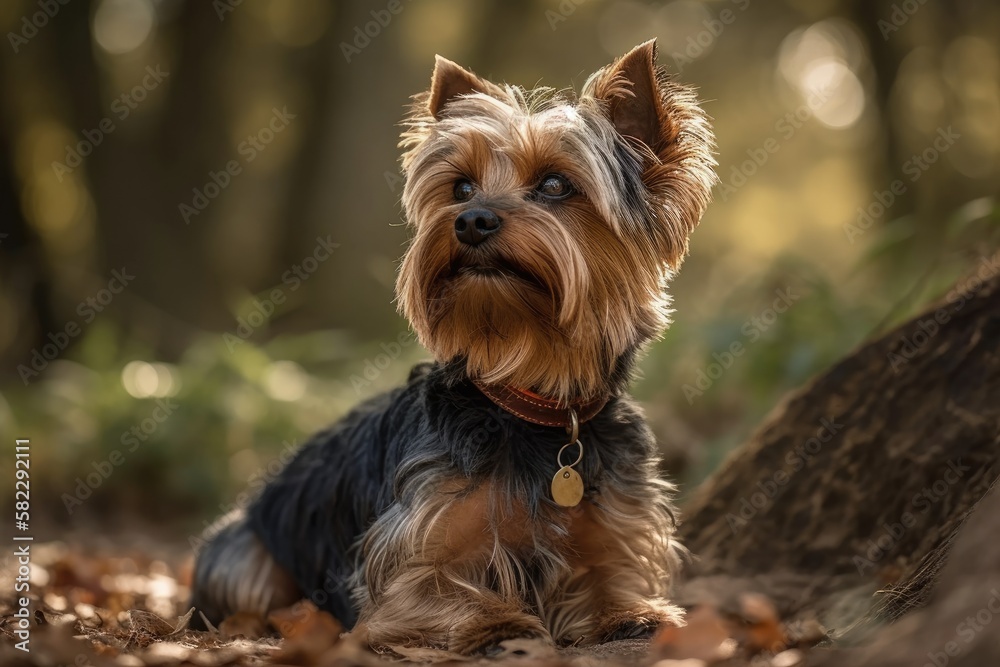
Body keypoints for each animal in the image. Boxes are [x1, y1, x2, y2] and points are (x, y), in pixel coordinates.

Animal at [191, 39, 716, 656]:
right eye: (461, 187)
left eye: (556, 185)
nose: (470, 219)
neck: (533, 403)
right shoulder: (410, 549)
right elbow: (434, 588)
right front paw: (495, 621)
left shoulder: (614, 521)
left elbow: (611, 577)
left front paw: (632, 611)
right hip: (245, 551)